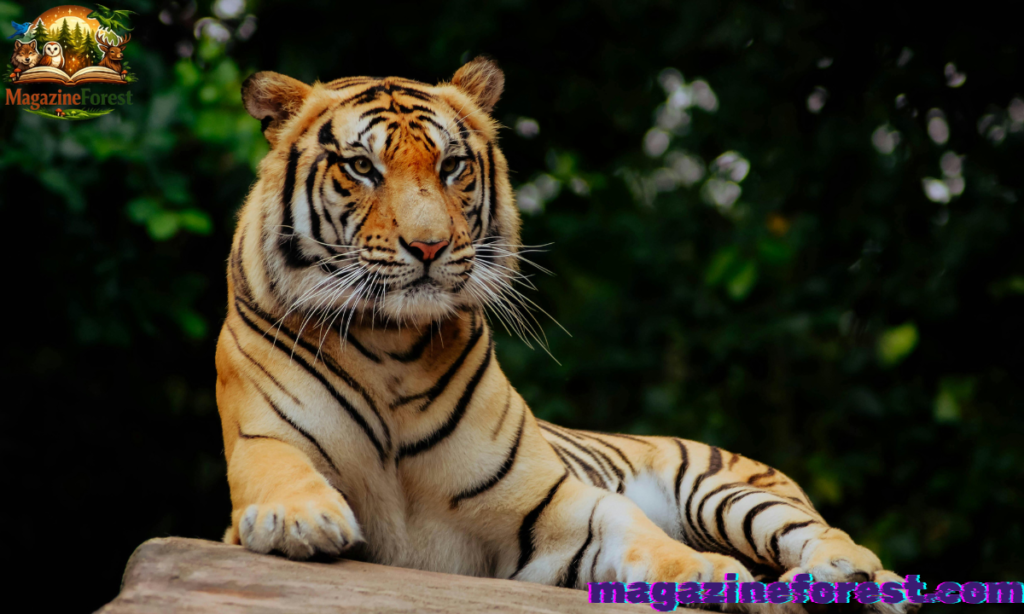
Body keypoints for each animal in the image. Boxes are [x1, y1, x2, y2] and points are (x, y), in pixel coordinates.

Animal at [215, 56, 917, 613]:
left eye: (452, 165)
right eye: (362, 167)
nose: (429, 246)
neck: (393, 345)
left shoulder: (550, 504)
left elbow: (632, 528)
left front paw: (706, 571)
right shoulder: (262, 439)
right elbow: (281, 469)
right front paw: (300, 518)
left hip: (723, 492)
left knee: (843, 544)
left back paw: (837, 577)